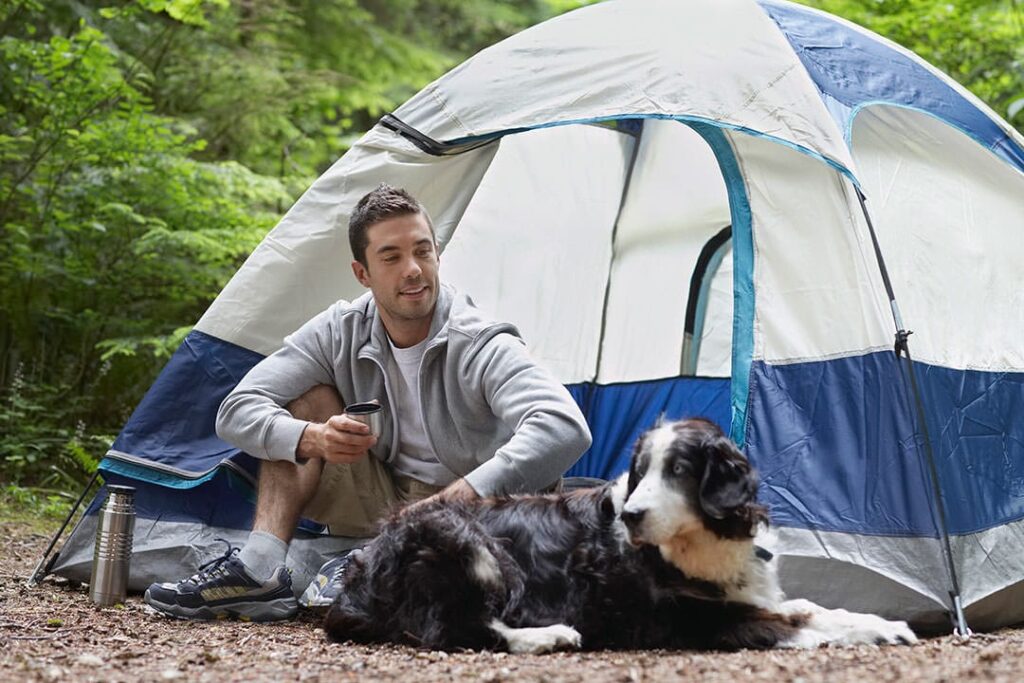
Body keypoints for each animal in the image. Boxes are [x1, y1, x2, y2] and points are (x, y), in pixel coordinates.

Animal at [323, 417, 917, 651]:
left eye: (679, 470)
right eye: (641, 469)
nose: (630, 516)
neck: (694, 543)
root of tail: (366, 561)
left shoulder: (741, 594)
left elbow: (813, 608)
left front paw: (884, 625)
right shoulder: (695, 618)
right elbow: (793, 624)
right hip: (469, 542)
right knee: (460, 630)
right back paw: (551, 635)